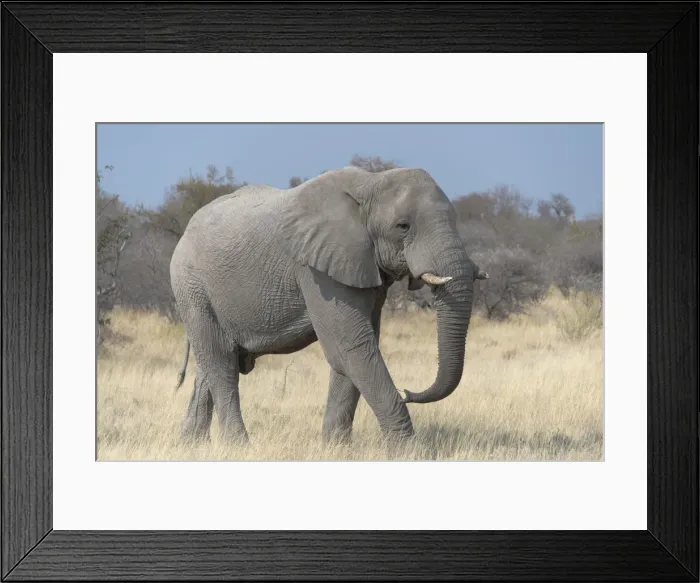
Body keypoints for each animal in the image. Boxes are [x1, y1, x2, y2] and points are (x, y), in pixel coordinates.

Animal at [170, 166, 487, 445]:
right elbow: (350, 346)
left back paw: (191, 445)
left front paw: (336, 448)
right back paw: (239, 446)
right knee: (221, 363)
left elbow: (355, 349)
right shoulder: (315, 268)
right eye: (403, 226)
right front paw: (408, 452)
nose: (408, 391)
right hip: (192, 288)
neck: (371, 183)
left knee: (213, 364)